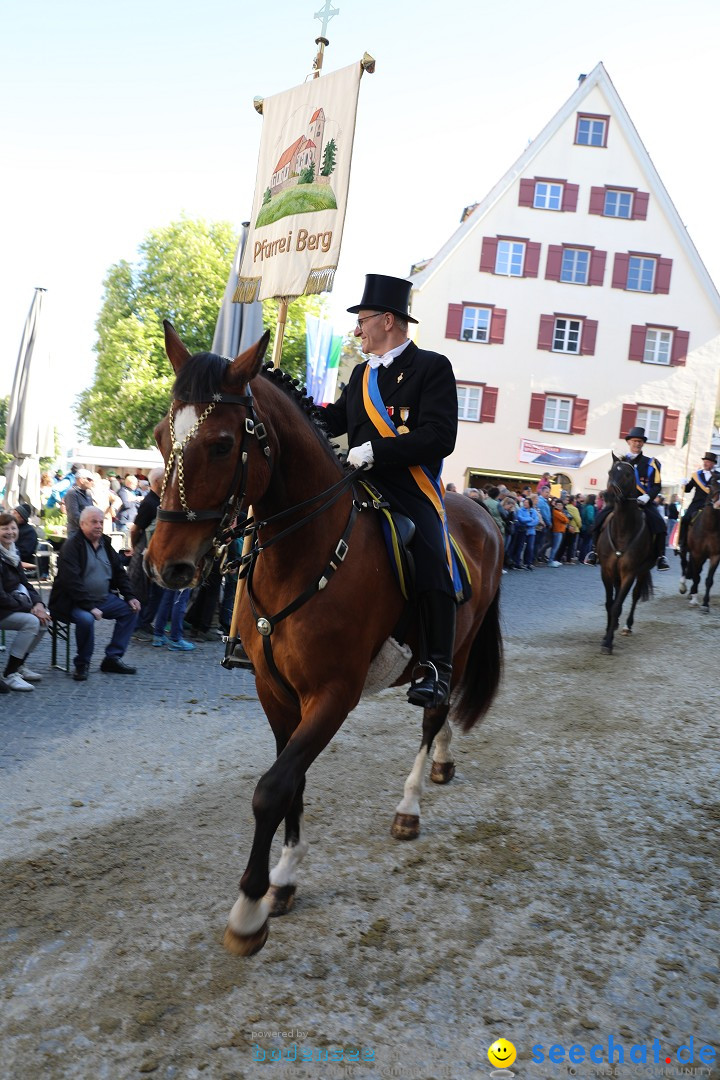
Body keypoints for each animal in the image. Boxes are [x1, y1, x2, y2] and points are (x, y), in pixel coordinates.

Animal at [144, 319, 507, 954]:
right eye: (164, 436)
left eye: (221, 443)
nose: (168, 566)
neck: (300, 552)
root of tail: (483, 512)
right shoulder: (275, 691)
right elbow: (293, 781)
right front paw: (283, 881)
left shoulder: (334, 693)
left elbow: (272, 787)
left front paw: (250, 908)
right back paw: (442, 762)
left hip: (454, 653)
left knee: (435, 710)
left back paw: (411, 804)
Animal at [595, 453, 656, 652]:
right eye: (610, 472)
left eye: (628, 475)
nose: (609, 495)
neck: (622, 530)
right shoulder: (606, 570)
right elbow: (610, 603)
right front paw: (606, 633)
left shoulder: (629, 573)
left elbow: (617, 605)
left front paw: (608, 642)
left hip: (643, 570)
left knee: (635, 595)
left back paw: (627, 626)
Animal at [677, 470, 716, 609]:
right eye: (711, 484)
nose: (717, 503)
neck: (710, 527)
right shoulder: (697, 553)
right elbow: (696, 575)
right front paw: (694, 598)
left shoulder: (715, 555)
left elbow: (709, 579)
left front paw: (705, 604)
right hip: (685, 548)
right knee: (684, 564)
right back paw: (683, 586)